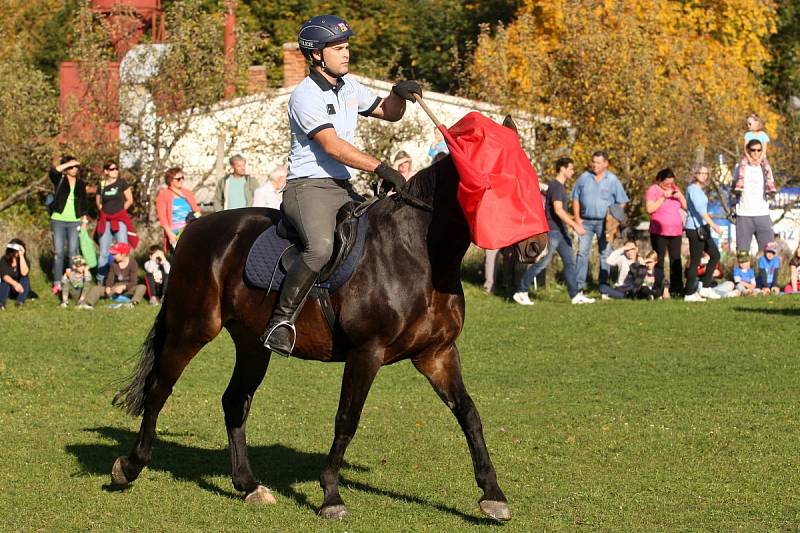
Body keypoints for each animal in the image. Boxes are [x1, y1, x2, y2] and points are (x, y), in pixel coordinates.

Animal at [112, 134, 548, 520]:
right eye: (500, 184)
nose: (537, 246)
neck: (418, 253)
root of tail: (195, 229)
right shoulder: (366, 352)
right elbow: (347, 419)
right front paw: (331, 496)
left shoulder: (436, 354)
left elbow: (469, 414)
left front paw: (493, 495)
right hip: (192, 328)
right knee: (159, 389)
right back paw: (129, 467)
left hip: (252, 344)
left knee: (235, 402)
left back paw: (249, 486)